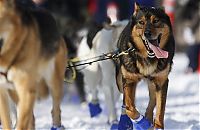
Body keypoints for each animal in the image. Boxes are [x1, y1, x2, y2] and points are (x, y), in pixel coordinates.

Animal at [0, 0, 67, 129]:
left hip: (54, 81)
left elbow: (21, 125)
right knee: (31, 118)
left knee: (56, 110)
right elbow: (8, 123)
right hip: (15, 94)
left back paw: (56, 126)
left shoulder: (27, 91)